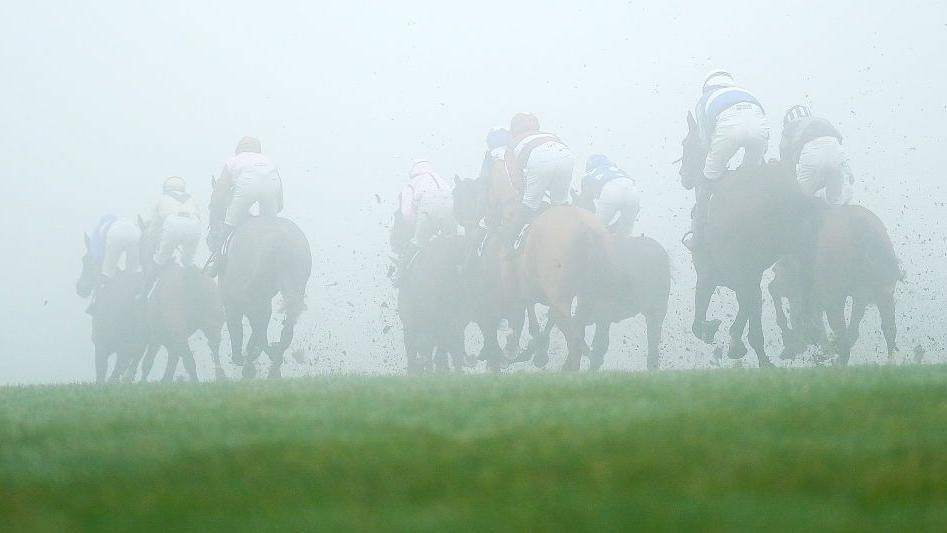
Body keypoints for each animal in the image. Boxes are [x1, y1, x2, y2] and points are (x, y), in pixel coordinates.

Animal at [206, 185, 312, 380]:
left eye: (212, 204)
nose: (209, 238)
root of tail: (283, 240)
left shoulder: (233, 300)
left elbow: (239, 328)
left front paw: (245, 360)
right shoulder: (261, 299)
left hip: (251, 296)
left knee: (258, 328)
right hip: (293, 288)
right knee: (285, 327)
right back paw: (274, 364)